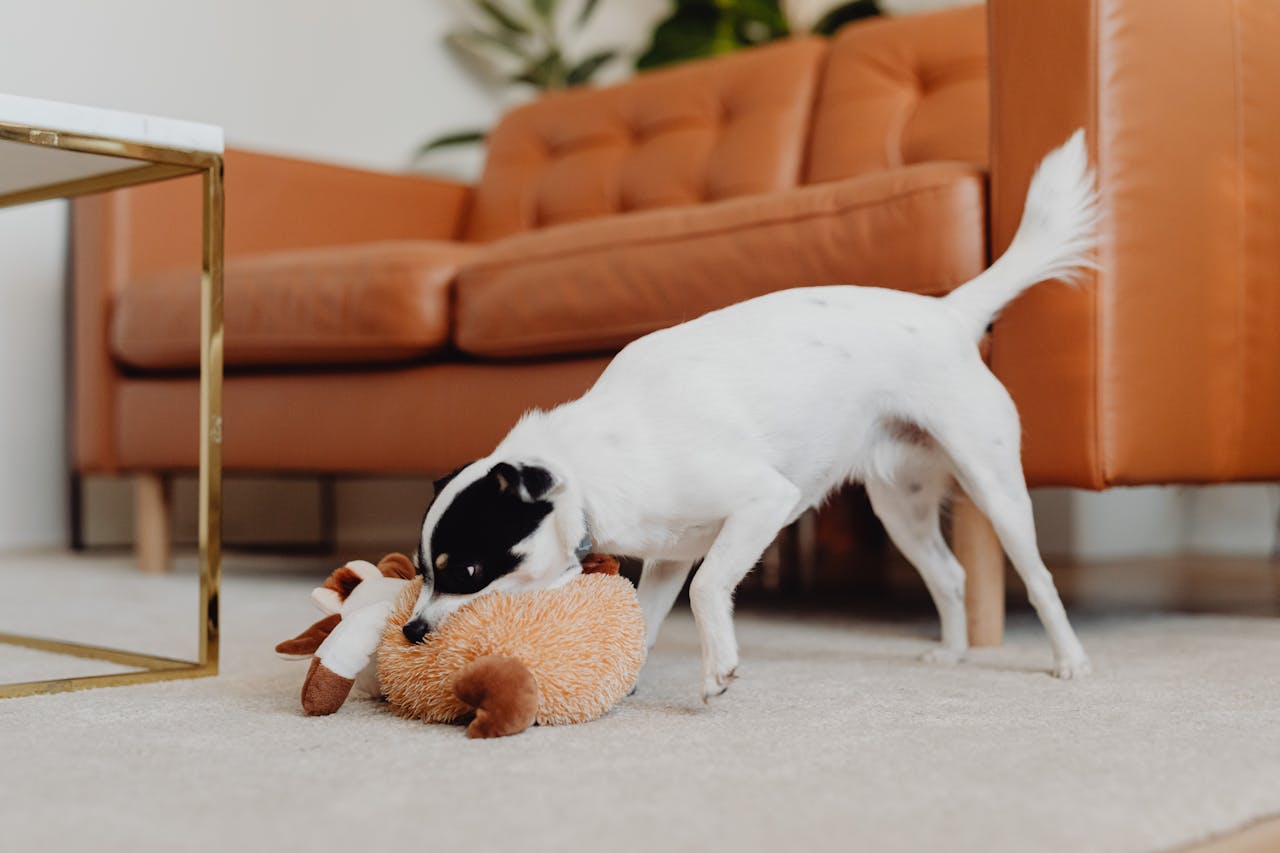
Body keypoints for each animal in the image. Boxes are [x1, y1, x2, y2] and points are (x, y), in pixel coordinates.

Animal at [404, 128, 1095, 696]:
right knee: (949, 575)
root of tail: (947, 312)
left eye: (467, 571)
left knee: (1038, 578)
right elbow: (647, 619)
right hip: (902, 504)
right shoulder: (670, 553)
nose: (412, 631)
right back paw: (953, 652)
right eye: (420, 570)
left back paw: (1069, 660)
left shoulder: (762, 502)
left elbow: (710, 586)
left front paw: (718, 669)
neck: (592, 466)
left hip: (993, 483)